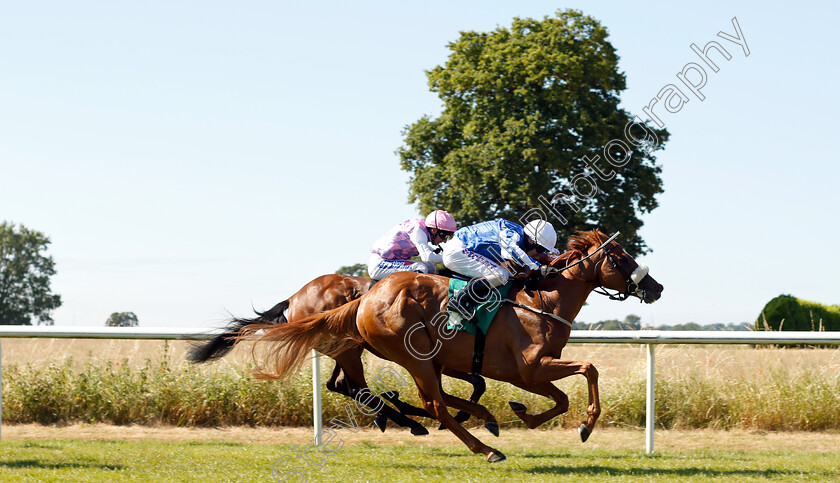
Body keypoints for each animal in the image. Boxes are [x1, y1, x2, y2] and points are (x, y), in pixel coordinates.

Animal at [241, 229, 664, 464]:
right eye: (622, 257)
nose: (656, 287)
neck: (544, 300)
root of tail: (365, 298)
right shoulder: (531, 366)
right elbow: (589, 369)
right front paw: (586, 425)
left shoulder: (527, 373)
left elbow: (558, 399)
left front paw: (523, 414)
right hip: (405, 354)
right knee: (428, 403)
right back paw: (477, 445)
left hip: (403, 356)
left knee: (367, 389)